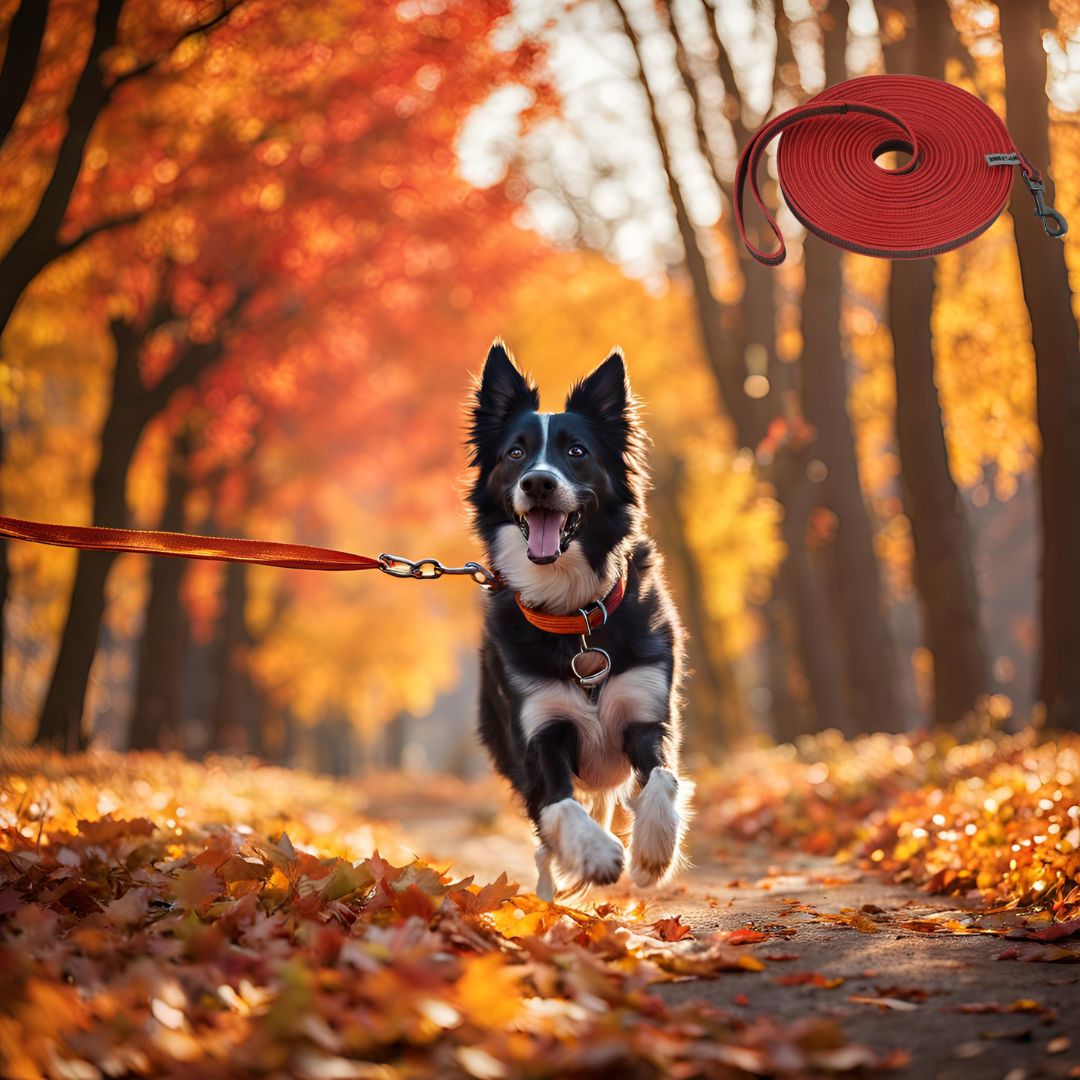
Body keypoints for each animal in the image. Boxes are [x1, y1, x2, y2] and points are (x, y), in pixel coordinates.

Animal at [466, 341, 691, 898]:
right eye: (516, 453)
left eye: (577, 452)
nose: (538, 482)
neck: (574, 616)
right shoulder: (539, 736)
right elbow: (559, 804)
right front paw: (595, 854)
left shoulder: (647, 716)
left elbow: (663, 778)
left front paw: (651, 853)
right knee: (545, 846)